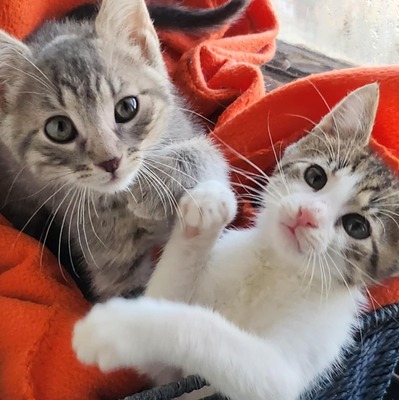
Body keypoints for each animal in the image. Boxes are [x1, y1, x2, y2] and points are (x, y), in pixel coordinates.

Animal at [0, 0, 247, 298]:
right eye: (59, 128)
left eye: (127, 107)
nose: (110, 161)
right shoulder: (111, 268)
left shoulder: (185, 130)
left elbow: (207, 154)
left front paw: (155, 185)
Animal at [73, 83, 399, 400]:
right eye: (315, 177)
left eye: (357, 226)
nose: (306, 215)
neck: (273, 268)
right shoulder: (165, 371)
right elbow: (161, 301)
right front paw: (208, 210)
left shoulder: (298, 362)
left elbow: (209, 331)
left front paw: (115, 329)